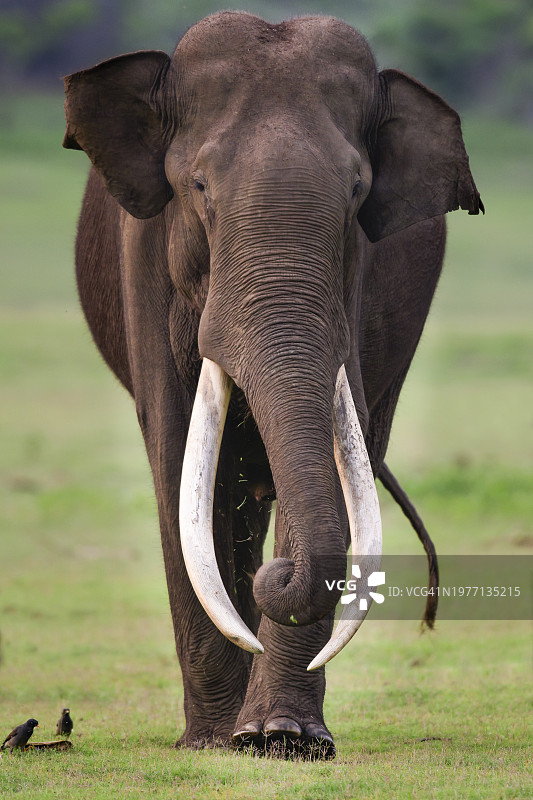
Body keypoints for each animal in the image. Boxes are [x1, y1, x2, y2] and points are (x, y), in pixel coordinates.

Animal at [62, 11, 482, 758]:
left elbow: (343, 452)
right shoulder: (143, 254)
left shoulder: (361, 283)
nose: (273, 582)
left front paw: (282, 739)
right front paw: (211, 744)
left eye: (356, 192)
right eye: (199, 188)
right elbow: (176, 455)